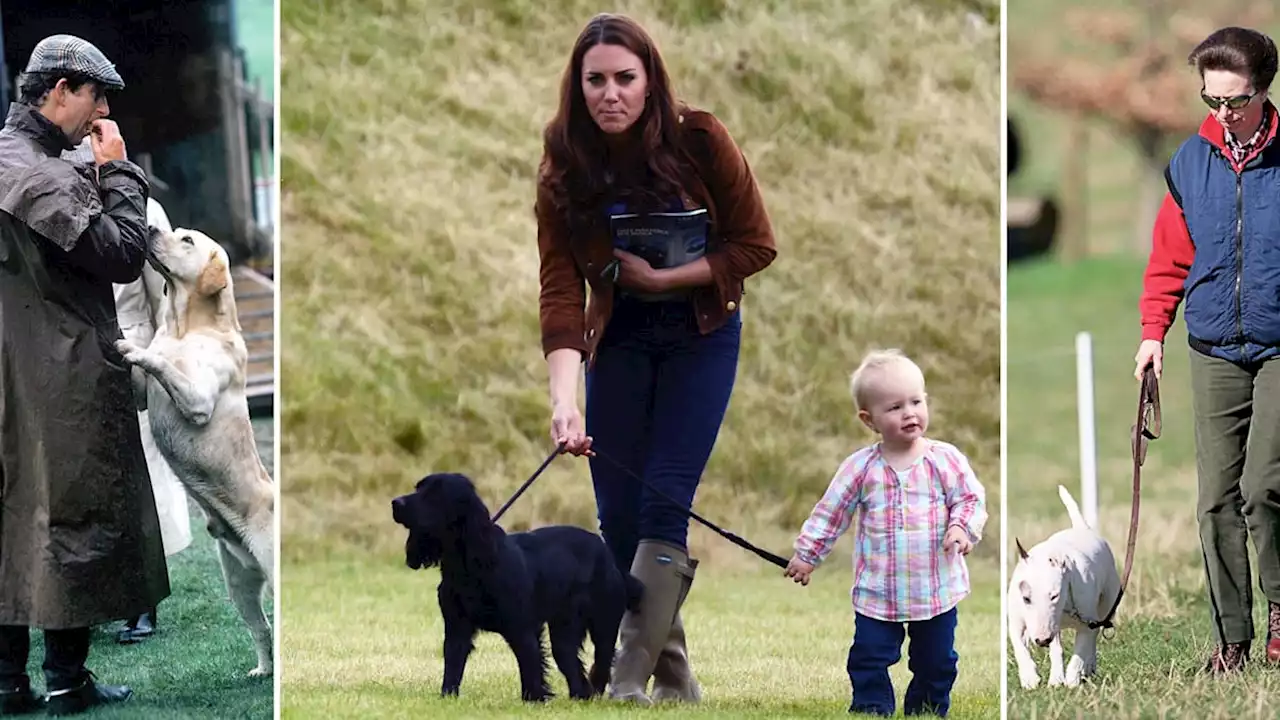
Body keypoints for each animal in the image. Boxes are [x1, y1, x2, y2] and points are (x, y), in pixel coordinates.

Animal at [116, 224, 276, 671]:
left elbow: (163, 365)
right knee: (263, 629)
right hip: (238, 585)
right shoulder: (141, 396)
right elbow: (145, 373)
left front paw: (133, 348)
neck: (184, 328)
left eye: (186, 239)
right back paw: (262, 669)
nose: (150, 226)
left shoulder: (198, 399)